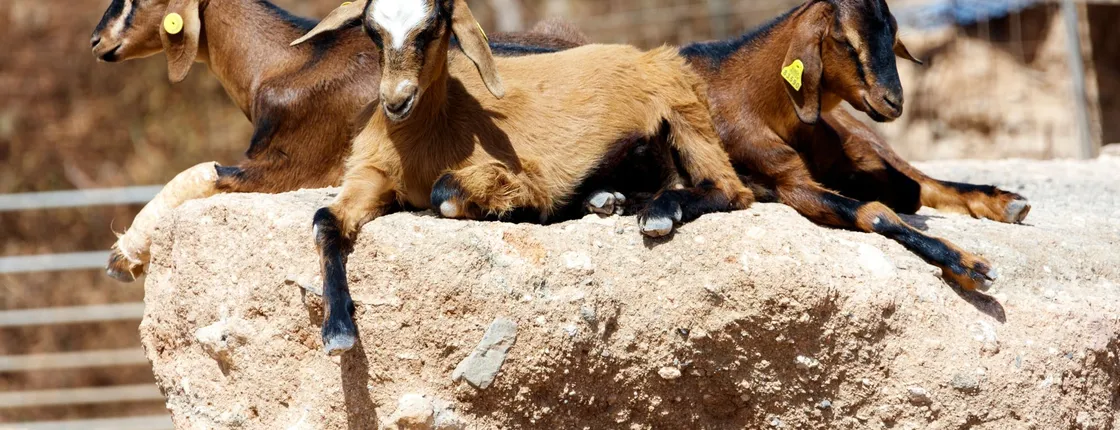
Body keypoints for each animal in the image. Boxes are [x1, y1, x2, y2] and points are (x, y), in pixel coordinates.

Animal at [296, 0, 754, 354]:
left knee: (731, 190)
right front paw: (337, 330)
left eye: (430, 29)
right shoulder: (370, 175)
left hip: (685, 112)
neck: (431, 129)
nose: (395, 101)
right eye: (372, 31)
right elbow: (324, 218)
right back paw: (605, 199)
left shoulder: (523, 173)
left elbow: (447, 193)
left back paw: (657, 211)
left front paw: (519, 211)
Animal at [674, 0, 1031, 291]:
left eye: (893, 36)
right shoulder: (792, 184)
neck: (746, 96)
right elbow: (876, 213)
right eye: (844, 40)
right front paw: (970, 265)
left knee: (920, 180)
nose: (893, 101)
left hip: (864, 136)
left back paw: (1007, 202)